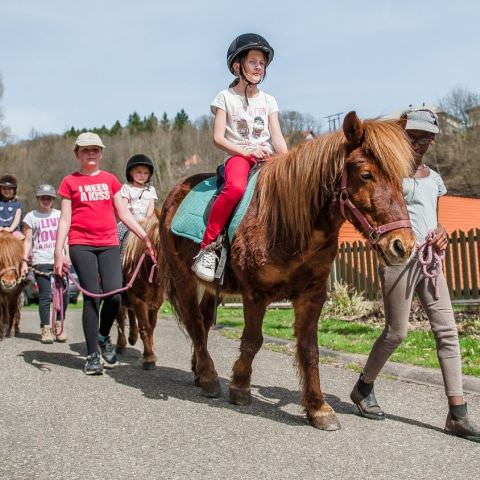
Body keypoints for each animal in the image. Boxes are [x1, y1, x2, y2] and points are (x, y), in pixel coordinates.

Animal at [116, 212, 167, 370]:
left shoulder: (156, 302)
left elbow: (151, 327)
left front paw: (150, 352)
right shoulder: (138, 299)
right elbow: (145, 327)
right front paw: (149, 358)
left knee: (130, 314)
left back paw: (132, 337)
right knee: (120, 317)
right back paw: (121, 344)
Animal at [158, 113, 416, 432]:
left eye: (400, 179)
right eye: (366, 175)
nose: (403, 245)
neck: (286, 226)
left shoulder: (311, 296)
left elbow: (309, 349)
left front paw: (318, 408)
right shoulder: (255, 294)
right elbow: (252, 341)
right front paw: (240, 387)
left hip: (208, 288)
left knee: (203, 325)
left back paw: (199, 370)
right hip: (182, 279)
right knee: (194, 323)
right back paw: (208, 377)